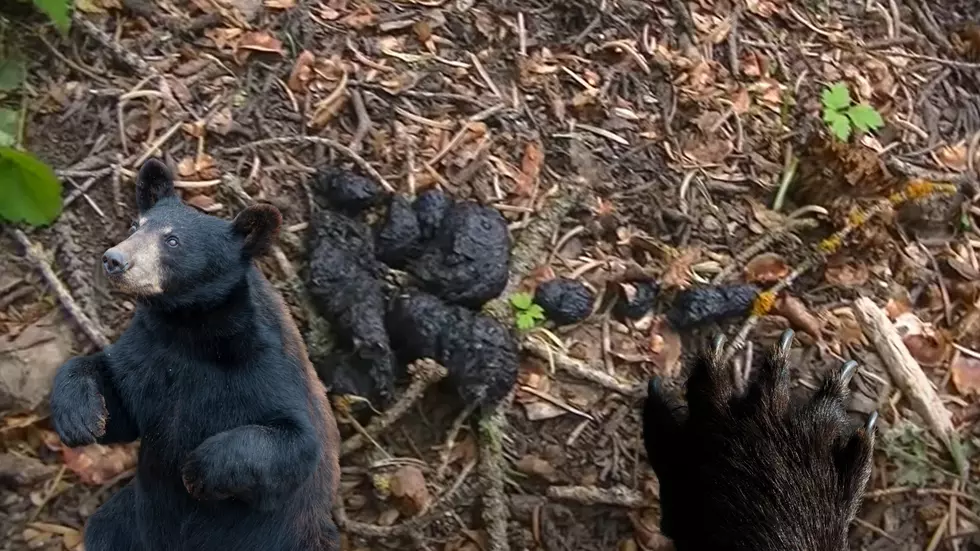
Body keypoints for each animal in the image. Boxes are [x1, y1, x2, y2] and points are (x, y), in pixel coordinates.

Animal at [48, 159, 341, 551]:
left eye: (173, 240)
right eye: (135, 226)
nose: (114, 260)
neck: (190, 333)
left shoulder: (269, 369)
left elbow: (295, 443)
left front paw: (197, 470)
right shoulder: (147, 351)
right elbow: (120, 403)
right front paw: (80, 416)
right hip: (131, 520)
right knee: (105, 529)